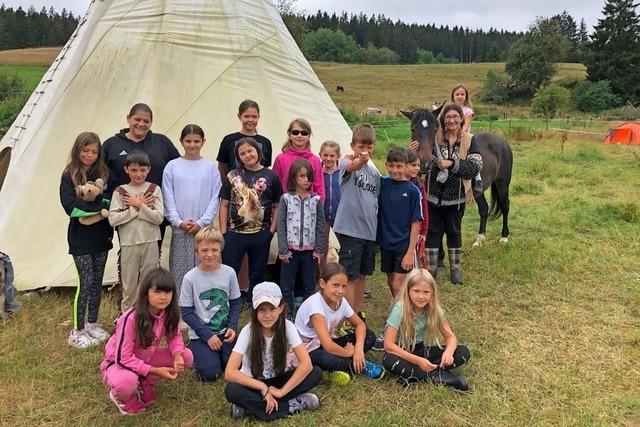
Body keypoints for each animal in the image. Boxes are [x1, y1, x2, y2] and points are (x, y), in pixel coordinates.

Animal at [402, 108, 512, 246]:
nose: (425, 163)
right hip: (477, 191)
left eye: (435, 129)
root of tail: (502, 141)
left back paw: (504, 236)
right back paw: (480, 238)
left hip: (502, 183)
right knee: (484, 209)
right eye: (413, 129)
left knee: (505, 206)